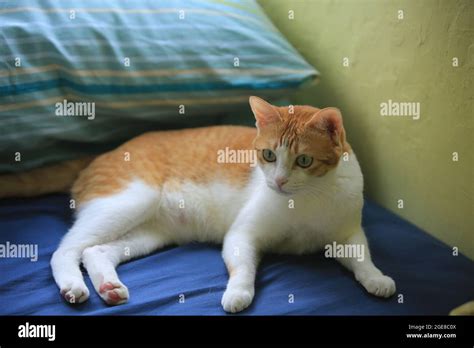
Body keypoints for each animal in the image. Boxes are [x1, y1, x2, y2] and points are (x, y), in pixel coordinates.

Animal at [2, 96, 396, 312]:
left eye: (303, 161)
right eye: (268, 155)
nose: (278, 182)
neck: (307, 199)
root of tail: (105, 152)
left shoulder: (346, 234)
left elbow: (362, 258)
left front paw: (377, 279)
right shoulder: (243, 235)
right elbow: (243, 268)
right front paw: (238, 294)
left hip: (151, 231)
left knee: (96, 252)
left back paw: (109, 288)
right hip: (127, 201)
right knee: (65, 251)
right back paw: (74, 285)